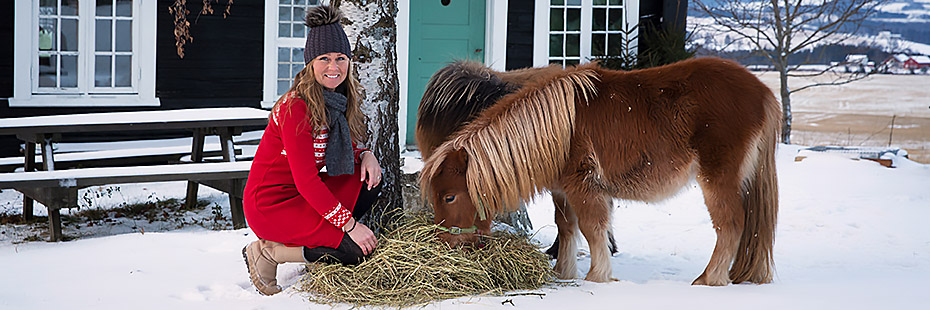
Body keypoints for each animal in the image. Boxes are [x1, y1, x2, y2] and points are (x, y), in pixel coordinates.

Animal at [418, 57, 776, 284]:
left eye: (449, 197)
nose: (443, 244)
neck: (558, 130)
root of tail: (762, 93)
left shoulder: (585, 187)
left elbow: (593, 229)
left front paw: (597, 276)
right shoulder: (563, 191)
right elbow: (567, 227)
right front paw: (563, 273)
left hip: (717, 178)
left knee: (731, 225)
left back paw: (709, 279)